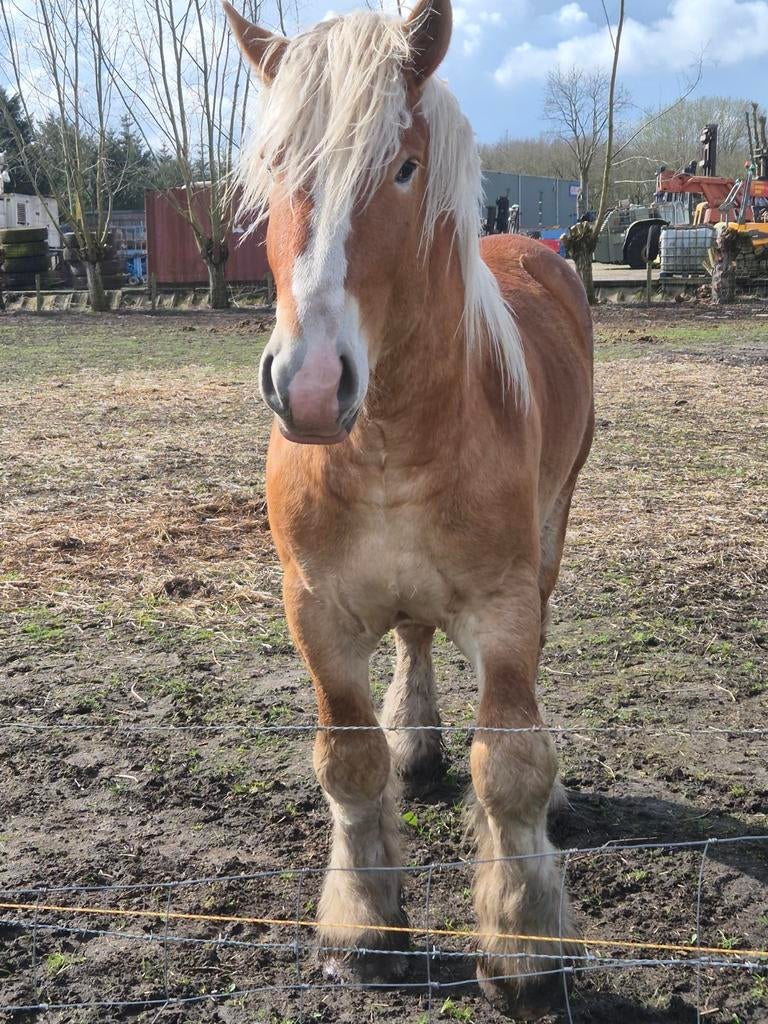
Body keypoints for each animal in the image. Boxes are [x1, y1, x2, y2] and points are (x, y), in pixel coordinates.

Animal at [224, 0, 594, 1016]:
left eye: (403, 166)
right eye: (275, 163)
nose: (311, 386)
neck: (389, 438)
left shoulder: (504, 612)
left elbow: (512, 768)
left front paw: (524, 949)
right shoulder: (315, 610)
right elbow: (348, 762)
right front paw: (363, 931)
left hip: (553, 533)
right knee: (416, 640)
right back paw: (418, 744)